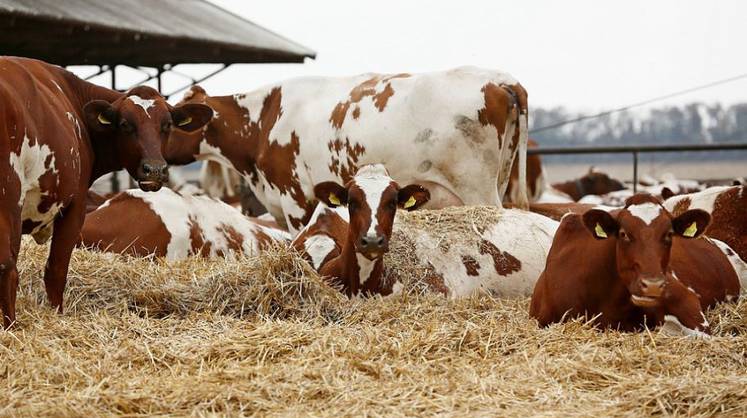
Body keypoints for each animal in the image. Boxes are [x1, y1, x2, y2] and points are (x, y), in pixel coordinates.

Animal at [0, 57, 213, 328]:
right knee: (7, 268)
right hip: (9, 200)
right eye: (125, 124)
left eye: (167, 125)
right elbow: (56, 270)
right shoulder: (75, 204)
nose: (154, 169)